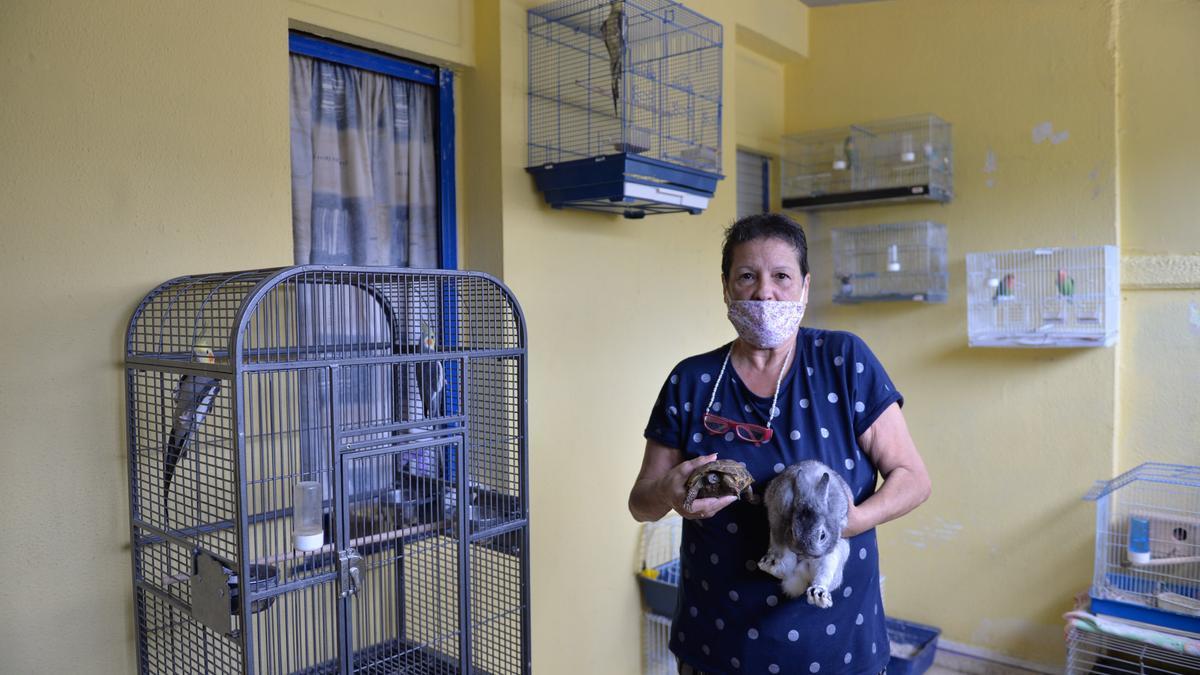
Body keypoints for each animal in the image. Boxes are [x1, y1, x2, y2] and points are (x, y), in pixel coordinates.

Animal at [758, 458, 854, 607]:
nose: (805, 553)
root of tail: (803, 574)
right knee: (785, 570)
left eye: (822, 536)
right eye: (792, 531)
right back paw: (769, 564)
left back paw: (818, 594)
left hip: (833, 558)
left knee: (823, 576)